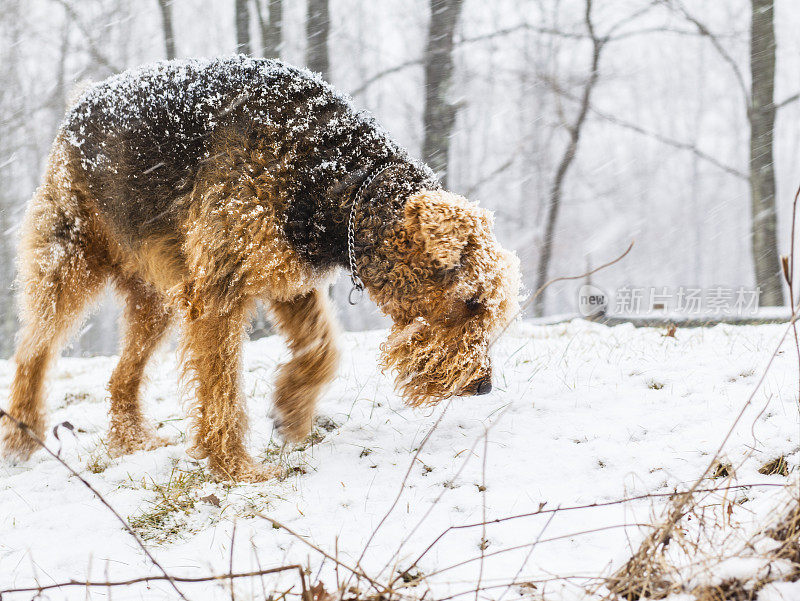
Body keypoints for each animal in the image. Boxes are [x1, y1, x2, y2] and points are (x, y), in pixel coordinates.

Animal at [0, 55, 520, 478]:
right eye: (471, 301)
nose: (483, 385)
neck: (335, 179)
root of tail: (80, 100)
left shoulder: (289, 279)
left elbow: (324, 349)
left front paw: (290, 412)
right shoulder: (218, 291)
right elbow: (223, 391)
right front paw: (236, 469)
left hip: (157, 295)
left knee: (120, 376)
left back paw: (133, 440)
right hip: (68, 265)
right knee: (33, 352)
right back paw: (22, 436)